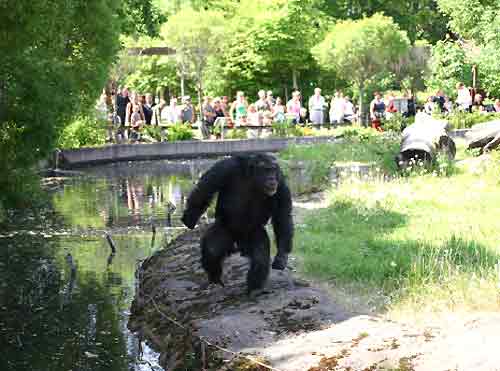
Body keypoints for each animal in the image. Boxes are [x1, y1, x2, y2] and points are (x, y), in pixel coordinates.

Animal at [182, 153, 292, 294]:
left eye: (274, 170)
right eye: (267, 170)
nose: (272, 178)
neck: (252, 179)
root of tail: (238, 244)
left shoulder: (281, 183)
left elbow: (282, 216)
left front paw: (281, 256)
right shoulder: (224, 168)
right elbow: (205, 189)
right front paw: (189, 218)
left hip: (253, 233)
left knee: (260, 259)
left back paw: (254, 289)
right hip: (224, 228)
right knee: (212, 251)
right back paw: (215, 281)